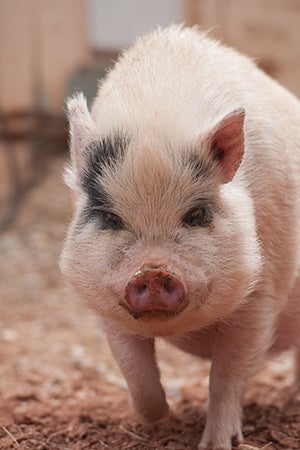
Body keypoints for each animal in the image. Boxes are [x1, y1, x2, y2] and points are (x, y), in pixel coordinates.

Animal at [60, 25, 300, 450]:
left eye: (196, 215)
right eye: (110, 217)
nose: (153, 271)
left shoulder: (261, 295)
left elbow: (226, 377)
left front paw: (216, 443)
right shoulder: (107, 309)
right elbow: (137, 374)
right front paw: (157, 420)